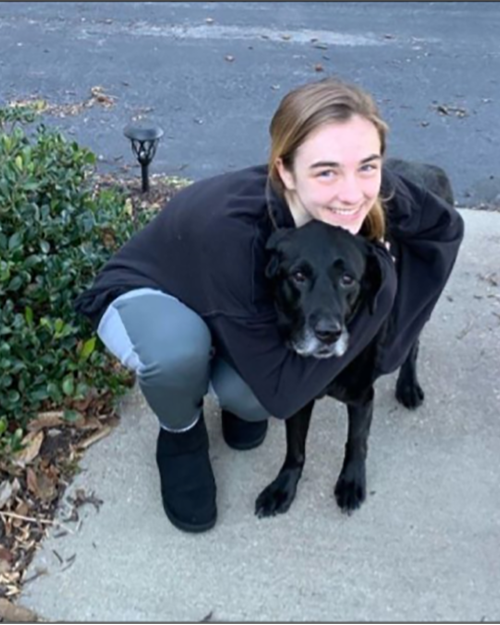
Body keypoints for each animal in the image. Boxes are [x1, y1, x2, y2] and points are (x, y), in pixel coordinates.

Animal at [256, 160, 452, 516]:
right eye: (298, 275)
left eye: (348, 279)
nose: (328, 333)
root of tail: (430, 168)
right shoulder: (296, 396)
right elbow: (295, 448)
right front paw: (283, 487)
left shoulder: (362, 397)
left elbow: (356, 442)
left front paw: (351, 482)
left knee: (412, 343)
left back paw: (408, 386)